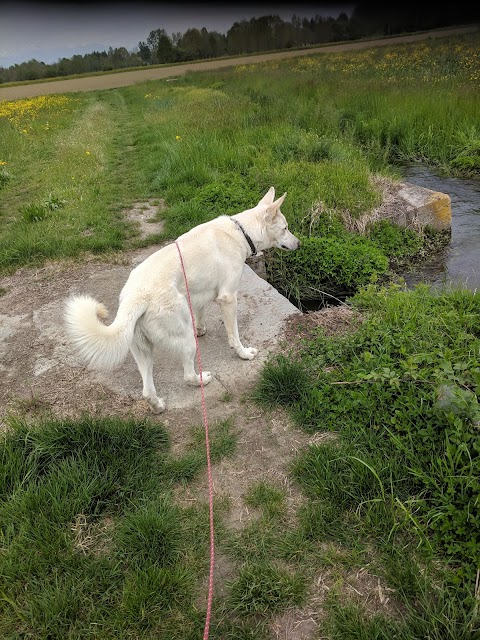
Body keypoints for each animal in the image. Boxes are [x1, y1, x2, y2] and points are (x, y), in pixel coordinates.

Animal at [62, 188, 298, 412]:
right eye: (286, 228)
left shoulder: (199, 294)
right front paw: (244, 353)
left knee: (147, 391)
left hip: (143, 351)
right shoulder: (228, 298)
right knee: (187, 375)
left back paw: (157, 407)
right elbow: (235, 336)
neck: (242, 232)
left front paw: (201, 329)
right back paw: (202, 379)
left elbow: (200, 313)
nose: (299, 242)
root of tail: (136, 296)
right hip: (185, 341)